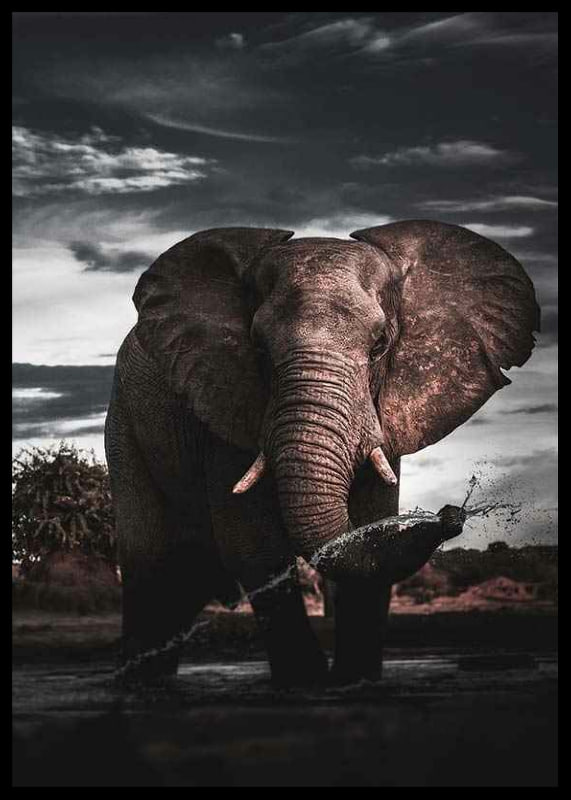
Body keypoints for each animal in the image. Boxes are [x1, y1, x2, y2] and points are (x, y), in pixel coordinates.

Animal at [104, 219, 539, 686]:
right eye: (258, 348)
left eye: (380, 345)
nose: (451, 515)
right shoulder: (224, 404)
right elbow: (254, 546)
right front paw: (306, 683)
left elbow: (369, 525)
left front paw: (355, 680)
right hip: (125, 425)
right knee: (149, 560)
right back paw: (139, 684)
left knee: (188, 574)